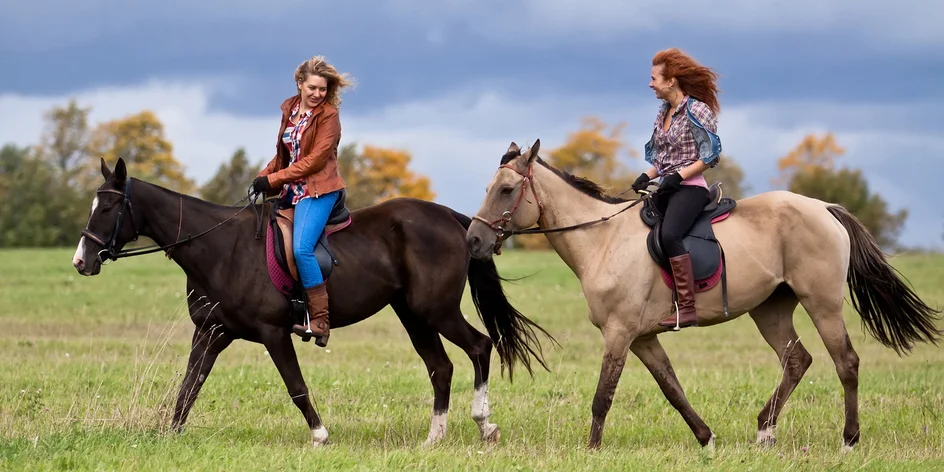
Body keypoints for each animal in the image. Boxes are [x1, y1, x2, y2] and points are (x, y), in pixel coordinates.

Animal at [75, 158, 560, 446]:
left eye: (108, 209)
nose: (82, 261)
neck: (219, 247)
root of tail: (453, 219)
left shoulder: (272, 334)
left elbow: (295, 386)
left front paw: (321, 435)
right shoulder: (211, 332)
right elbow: (189, 386)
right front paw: (171, 435)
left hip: (434, 310)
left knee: (479, 346)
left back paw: (484, 423)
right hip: (412, 315)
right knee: (440, 367)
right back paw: (433, 438)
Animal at [468, 139, 940, 450]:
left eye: (506, 190)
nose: (473, 240)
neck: (602, 239)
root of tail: (825, 207)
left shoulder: (620, 333)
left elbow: (603, 396)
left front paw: (592, 450)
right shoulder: (643, 338)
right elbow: (672, 389)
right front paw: (706, 438)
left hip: (821, 304)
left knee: (846, 362)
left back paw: (848, 440)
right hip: (770, 310)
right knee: (797, 361)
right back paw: (764, 431)